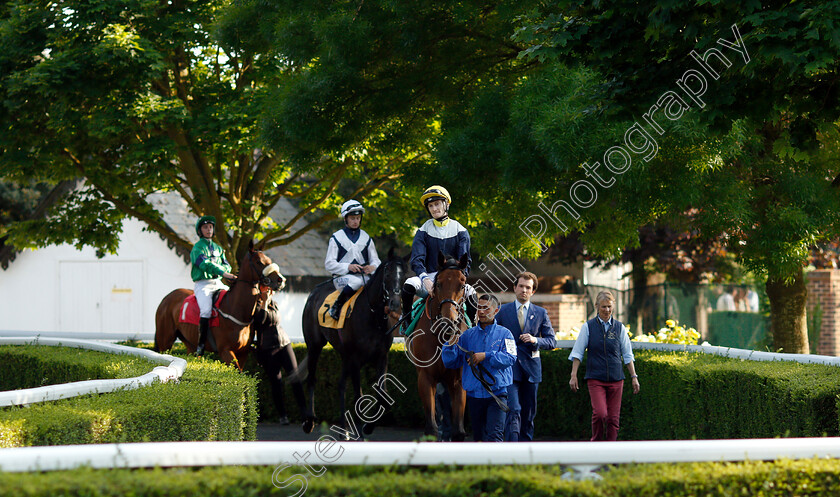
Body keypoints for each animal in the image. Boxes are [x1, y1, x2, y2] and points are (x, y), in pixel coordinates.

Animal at [156, 240, 288, 368]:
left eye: (269, 260)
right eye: (259, 262)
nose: (280, 280)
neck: (236, 311)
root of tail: (166, 298)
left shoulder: (243, 352)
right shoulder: (225, 351)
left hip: (190, 343)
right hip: (165, 341)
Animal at [296, 250, 408, 436]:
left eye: (404, 275)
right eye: (387, 273)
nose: (394, 303)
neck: (373, 317)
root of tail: (313, 293)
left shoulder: (381, 356)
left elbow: (383, 395)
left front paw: (368, 427)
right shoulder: (356, 358)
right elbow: (358, 396)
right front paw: (362, 432)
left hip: (344, 355)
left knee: (341, 385)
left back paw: (344, 430)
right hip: (314, 346)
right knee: (311, 379)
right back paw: (309, 421)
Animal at [404, 254, 470, 440]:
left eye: (462, 284)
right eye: (439, 284)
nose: (449, 322)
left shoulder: (458, 380)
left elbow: (458, 431)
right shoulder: (425, 378)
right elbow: (431, 429)